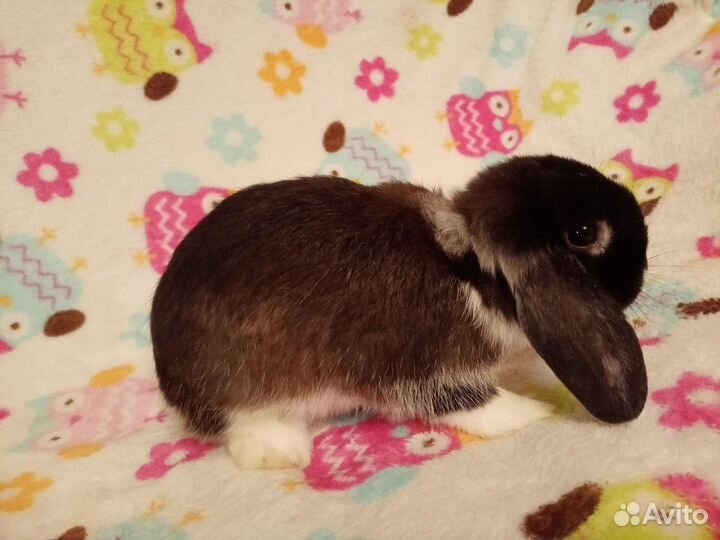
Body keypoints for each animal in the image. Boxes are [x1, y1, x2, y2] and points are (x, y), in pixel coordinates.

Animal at [151, 155, 648, 469]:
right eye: (583, 233)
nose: (640, 276)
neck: (470, 270)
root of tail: (172, 384)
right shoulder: (414, 370)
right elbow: (466, 401)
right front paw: (534, 411)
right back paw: (282, 452)